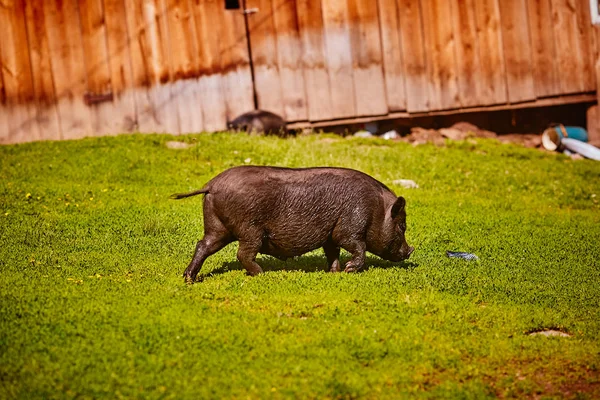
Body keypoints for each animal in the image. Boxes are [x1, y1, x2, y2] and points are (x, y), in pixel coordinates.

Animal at [169, 164, 412, 282]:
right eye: (402, 226)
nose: (410, 251)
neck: (377, 210)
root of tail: (211, 184)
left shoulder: (330, 235)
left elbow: (332, 253)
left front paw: (334, 273)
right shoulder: (348, 230)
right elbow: (358, 247)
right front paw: (349, 270)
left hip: (217, 226)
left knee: (203, 245)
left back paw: (188, 278)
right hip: (250, 229)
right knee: (243, 254)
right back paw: (261, 274)